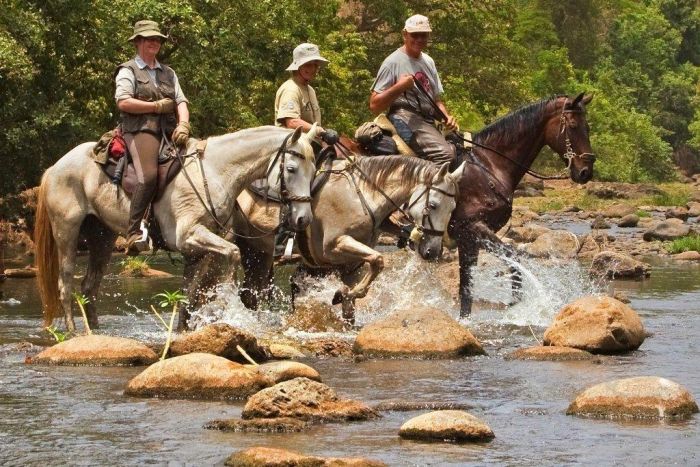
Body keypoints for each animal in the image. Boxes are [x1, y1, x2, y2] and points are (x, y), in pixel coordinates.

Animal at [32, 127, 318, 332]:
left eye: (314, 170)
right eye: (291, 169)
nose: (304, 219)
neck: (215, 173)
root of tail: (54, 167)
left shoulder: (197, 248)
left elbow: (188, 293)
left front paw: (183, 329)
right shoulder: (190, 235)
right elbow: (233, 254)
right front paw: (229, 306)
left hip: (101, 237)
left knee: (89, 286)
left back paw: (96, 334)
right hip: (66, 231)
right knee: (65, 282)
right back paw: (72, 332)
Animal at [234, 155, 464, 324]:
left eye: (453, 208)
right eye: (432, 205)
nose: (433, 252)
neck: (362, 196)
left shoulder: (351, 263)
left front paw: (346, 299)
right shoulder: (334, 247)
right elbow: (378, 260)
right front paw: (344, 294)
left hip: (257, 252)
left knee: (251, 294)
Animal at [448, 92, 596, 318]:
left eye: (587, 127)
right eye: (572, 125)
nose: (586, 171)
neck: (489, 167)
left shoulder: (469, 239)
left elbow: (467, 291)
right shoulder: (471, 228)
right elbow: (512, 256)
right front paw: (517, 304)